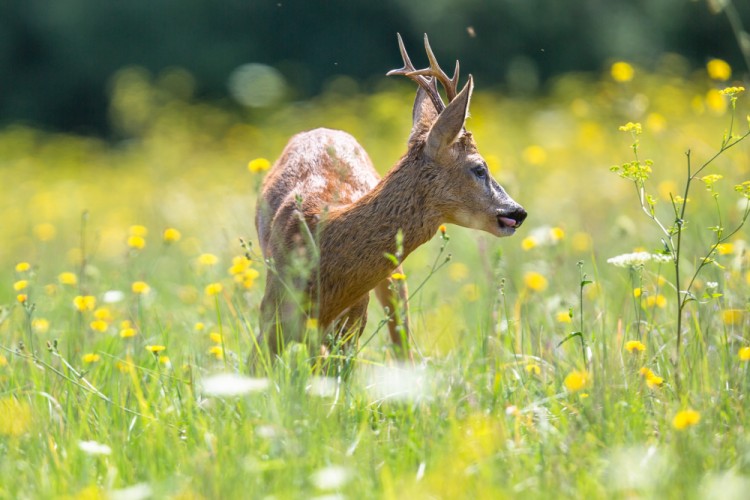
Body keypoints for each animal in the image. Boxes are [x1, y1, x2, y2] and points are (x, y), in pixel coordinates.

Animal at [256, 33, 524, 358]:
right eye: (480, 168)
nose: (517, 211)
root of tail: (323, 129)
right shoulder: (269, 314)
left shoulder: (351, 324)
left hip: (394, 283)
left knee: (402, 346)